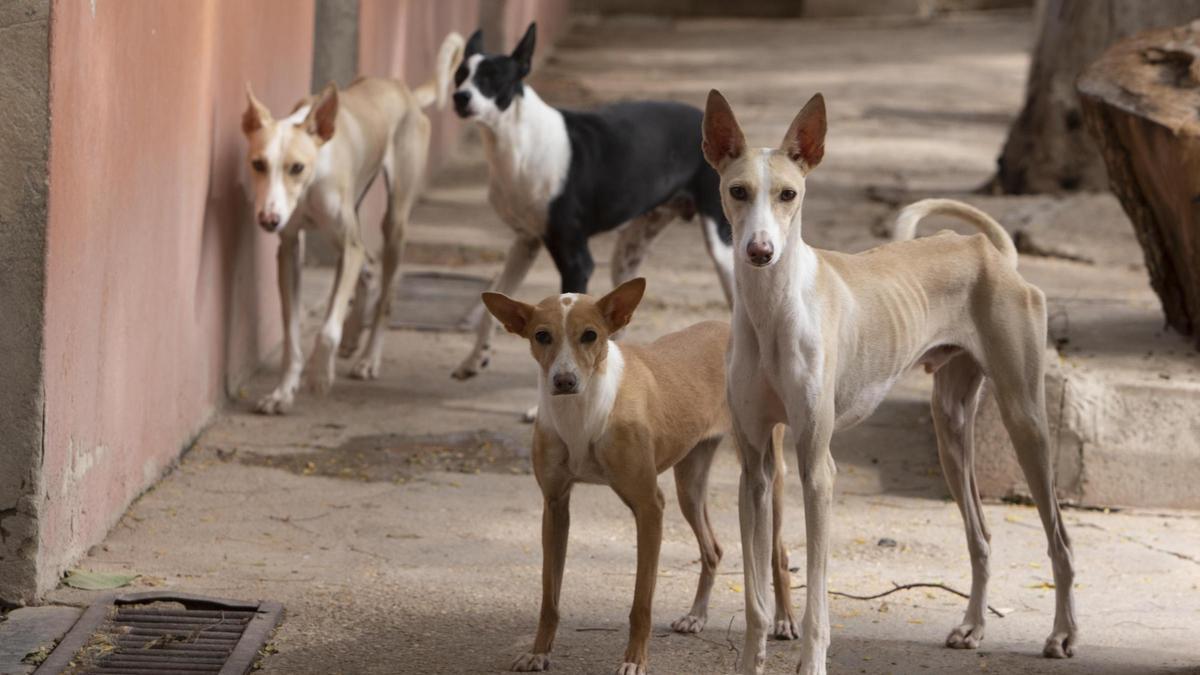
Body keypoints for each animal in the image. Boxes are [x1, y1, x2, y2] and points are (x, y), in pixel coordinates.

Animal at [242, 34, 463, 413]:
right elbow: (291, 333)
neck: (315, 172)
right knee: (369, 269)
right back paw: (352, 337)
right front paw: (282, 392)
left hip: (393, 221)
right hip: (350, 223)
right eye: (258, 164)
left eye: (296, 167)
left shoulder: (348, 244)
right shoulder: (289, 249)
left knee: (386, 291)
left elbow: (325, 328)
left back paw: (368, 358)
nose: (269, 220)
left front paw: (319, 376)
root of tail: (402, 89)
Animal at [448, 22, 729, 379]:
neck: (518, 144)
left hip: (722, 248)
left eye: (492, 77)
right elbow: (493, 306)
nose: (460, 97)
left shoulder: (575, 259)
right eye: (460, 75)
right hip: (628, 254)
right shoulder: (525, 243)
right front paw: (474, 359)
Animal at [477, 277, 796, 672]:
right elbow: (549, 598)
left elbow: (640, 603)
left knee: (779, 554)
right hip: (689, 485)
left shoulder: (649, 506)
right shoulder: (555, 506)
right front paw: (539, 651)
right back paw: (696, 615)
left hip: (767, 481)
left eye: (590, 335)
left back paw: (784, 620)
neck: (585, 412)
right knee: (713, 549)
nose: (564, 380)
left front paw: (634, 660)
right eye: (541, 335)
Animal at [700, 89, 1080, 672]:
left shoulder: (818, 468)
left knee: (1060, 538)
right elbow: (756, 600)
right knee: (981, 535)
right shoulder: (756, 469)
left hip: (1026, 422)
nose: (761, 252)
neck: (773, 310)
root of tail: (987, 249)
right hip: (951, 428)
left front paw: (813, 662)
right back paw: (973, 626)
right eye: (737, 191)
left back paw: (1062, 634)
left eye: (789, 194)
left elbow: (816, 599)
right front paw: (750, 661)